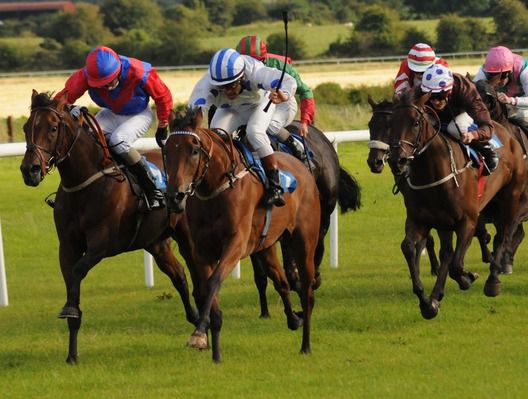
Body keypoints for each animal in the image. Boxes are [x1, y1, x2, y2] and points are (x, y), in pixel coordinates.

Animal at [19, 91, 198, 366]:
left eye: (52, 128)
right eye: (27, 127)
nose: (30, 170)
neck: (84, 184)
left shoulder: (100, 245)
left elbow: (78, 271)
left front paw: (69, 310)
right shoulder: (67, 247)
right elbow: (72, 283)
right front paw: (72, 354)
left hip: (186, 235)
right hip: (156, 243)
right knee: (179, 275)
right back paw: (196, 322)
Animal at [163, 108, 320, 362]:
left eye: (194, 150)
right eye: (166, 151)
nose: (174, 197)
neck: (215, 190)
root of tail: (302, 166)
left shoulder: (235, 244)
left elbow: (214, 281)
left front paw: (198, 333)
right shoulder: (201, 251)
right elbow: (208, 290)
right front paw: (212, 349)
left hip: (304, 240)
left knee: (306, 291)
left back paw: (305, 344)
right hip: (266, 245)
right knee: (281, 280)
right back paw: (293, 319)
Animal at [390, 91, 524, 318]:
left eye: (415, 122)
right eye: (391, 121)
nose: (397, 160)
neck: (434, 173)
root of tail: (507, 133)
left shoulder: (467, 221)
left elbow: (456, 264)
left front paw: (468, 278)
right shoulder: (421, 220)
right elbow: (409, 248)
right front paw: (427, 303)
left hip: (511, 199)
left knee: (504, 236)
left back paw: (493, 281)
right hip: (445, 222)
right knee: (447, 253)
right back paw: (437, 296)